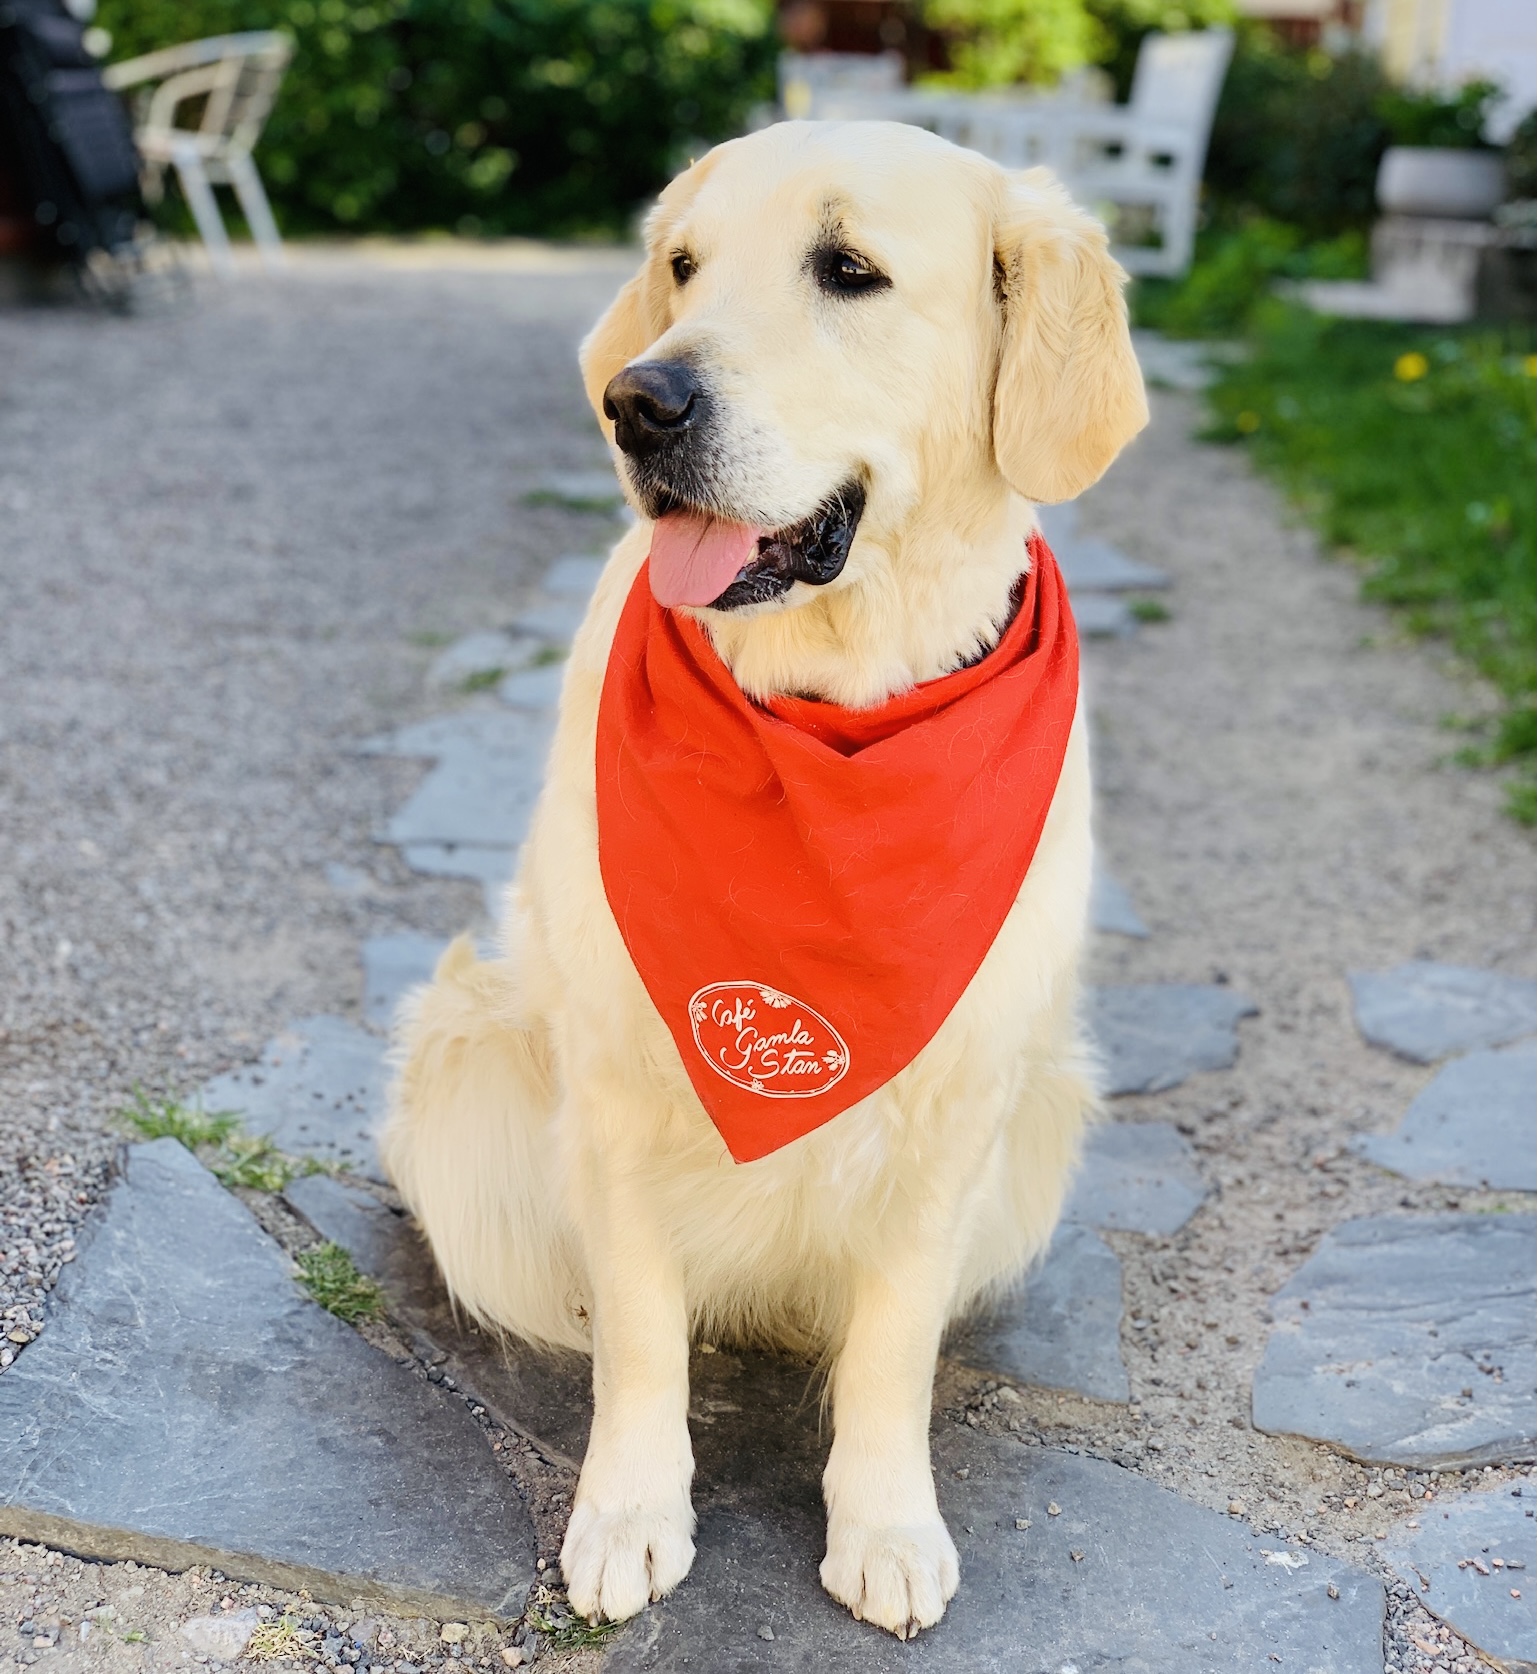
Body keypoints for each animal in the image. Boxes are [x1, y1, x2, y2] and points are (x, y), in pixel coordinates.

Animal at [383, 118, 1147, 1640]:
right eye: (682, 264)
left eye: (848, 270)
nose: (639, 401)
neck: (826, 720)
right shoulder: (618, 1086)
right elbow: (637, 1333)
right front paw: (629, 1512)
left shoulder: (961, 1101)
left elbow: (892, 1346)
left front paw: (885, 1520)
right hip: (471, 1059)